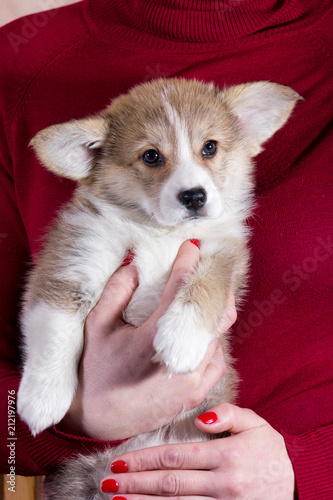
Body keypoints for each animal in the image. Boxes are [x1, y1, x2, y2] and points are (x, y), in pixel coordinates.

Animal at [16, 78, 300, 500]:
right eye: (151, 156)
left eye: (210, 147)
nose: (194, 196)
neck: (157, 230)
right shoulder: (73, 261)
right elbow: (56, 330)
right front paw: (42, 399)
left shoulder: (220, 255)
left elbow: (204, 286)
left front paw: (181, 338)